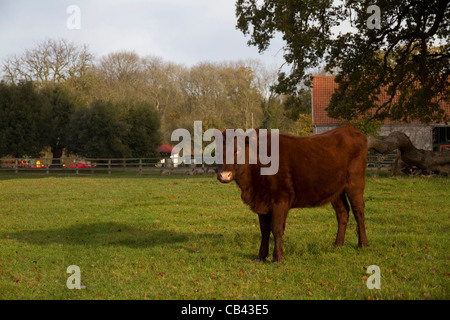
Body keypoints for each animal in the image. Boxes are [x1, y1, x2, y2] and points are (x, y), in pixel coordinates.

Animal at [216, 124, 368, 262]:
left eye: (238, 150)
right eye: (218, 152)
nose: (224, 175)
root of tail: (348, 128)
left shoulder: (281, 198)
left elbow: (276, 228)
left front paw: (277, 258)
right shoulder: (261, 201)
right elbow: (264, 230)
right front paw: (261, 256)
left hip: (355, 183)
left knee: (358, 212)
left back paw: (362, 244)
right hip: (335, 190)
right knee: (343, 212)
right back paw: (338, 244)